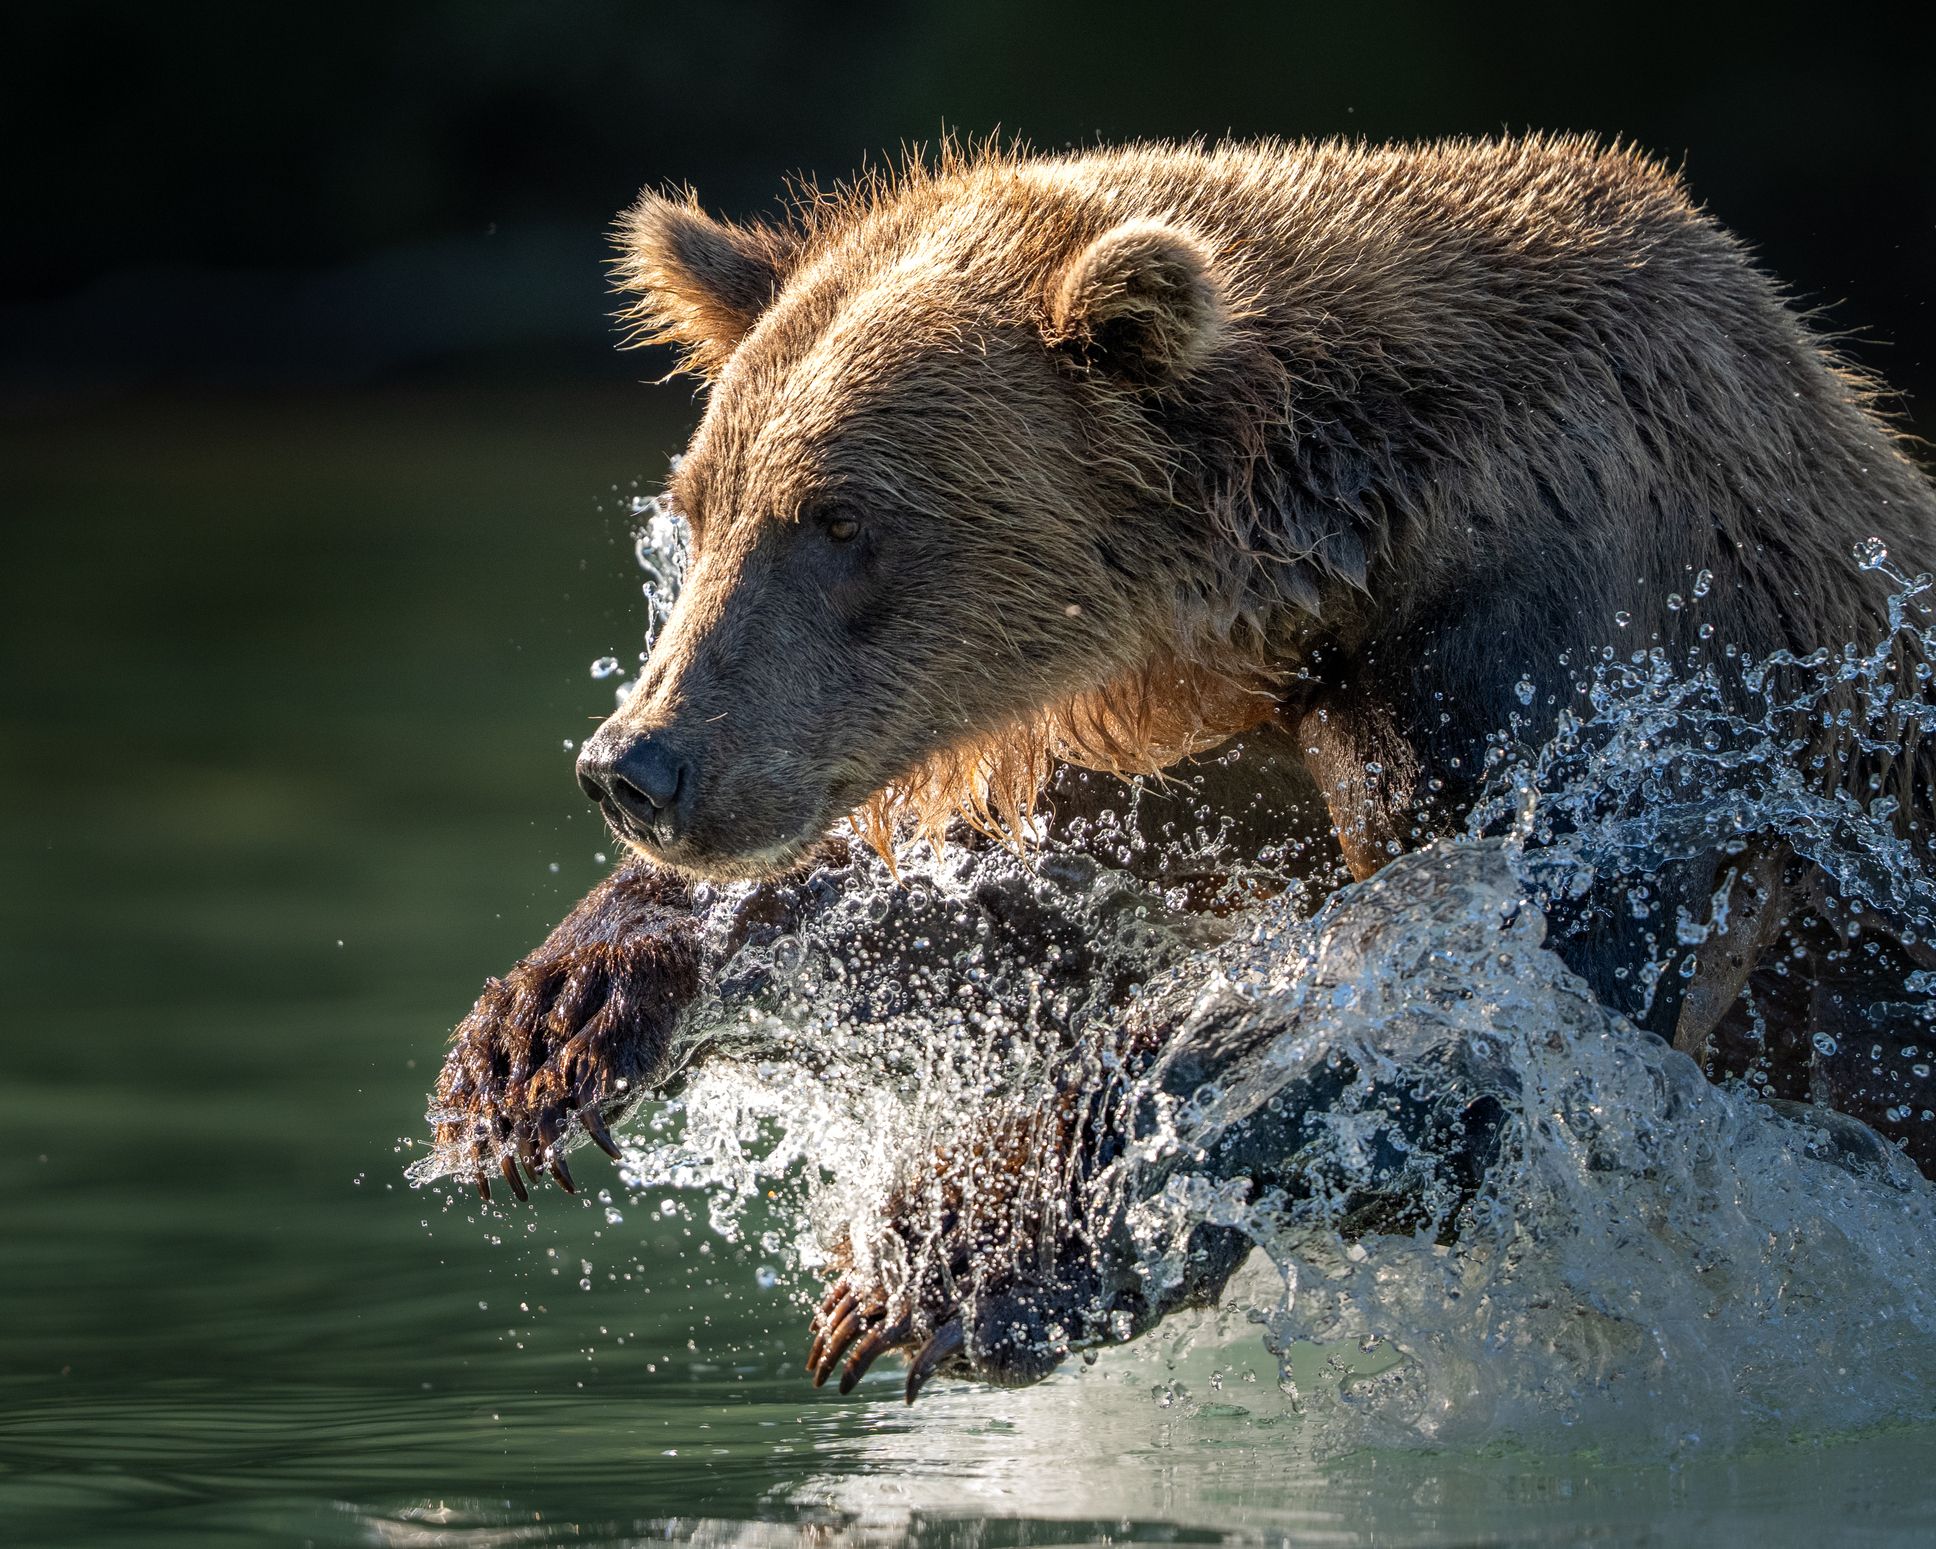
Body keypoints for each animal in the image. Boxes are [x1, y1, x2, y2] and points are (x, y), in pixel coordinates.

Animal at [426, 136, 1936, 1399]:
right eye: (701, 500)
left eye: (839, 515)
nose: (635, 765)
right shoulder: (1179, 748)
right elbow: (1008, 919)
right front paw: (542, 1037)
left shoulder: (1610, 661)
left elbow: (1476, 1000)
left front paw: (945, 1254)